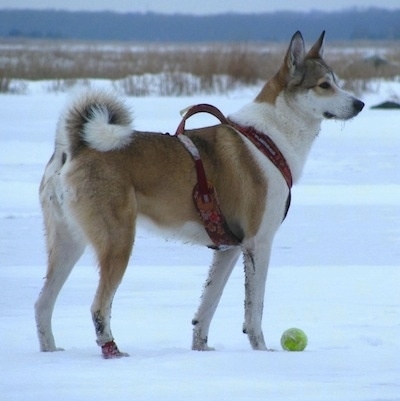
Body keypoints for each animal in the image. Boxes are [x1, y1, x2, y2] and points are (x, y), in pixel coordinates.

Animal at [35, 30, 366, 356]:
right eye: (324, 85)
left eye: (336, 81)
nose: (360, 104)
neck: (270, 138)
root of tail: (75, 148)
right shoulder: (258, 243)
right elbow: (254, 310)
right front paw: (262, 352)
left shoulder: (228, 248)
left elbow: (207, 306)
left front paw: (201, 350)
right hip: (117, 243)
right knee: (98, 307)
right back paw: (112, 350)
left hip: (68, 243)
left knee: (42, 304)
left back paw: (51, 351)